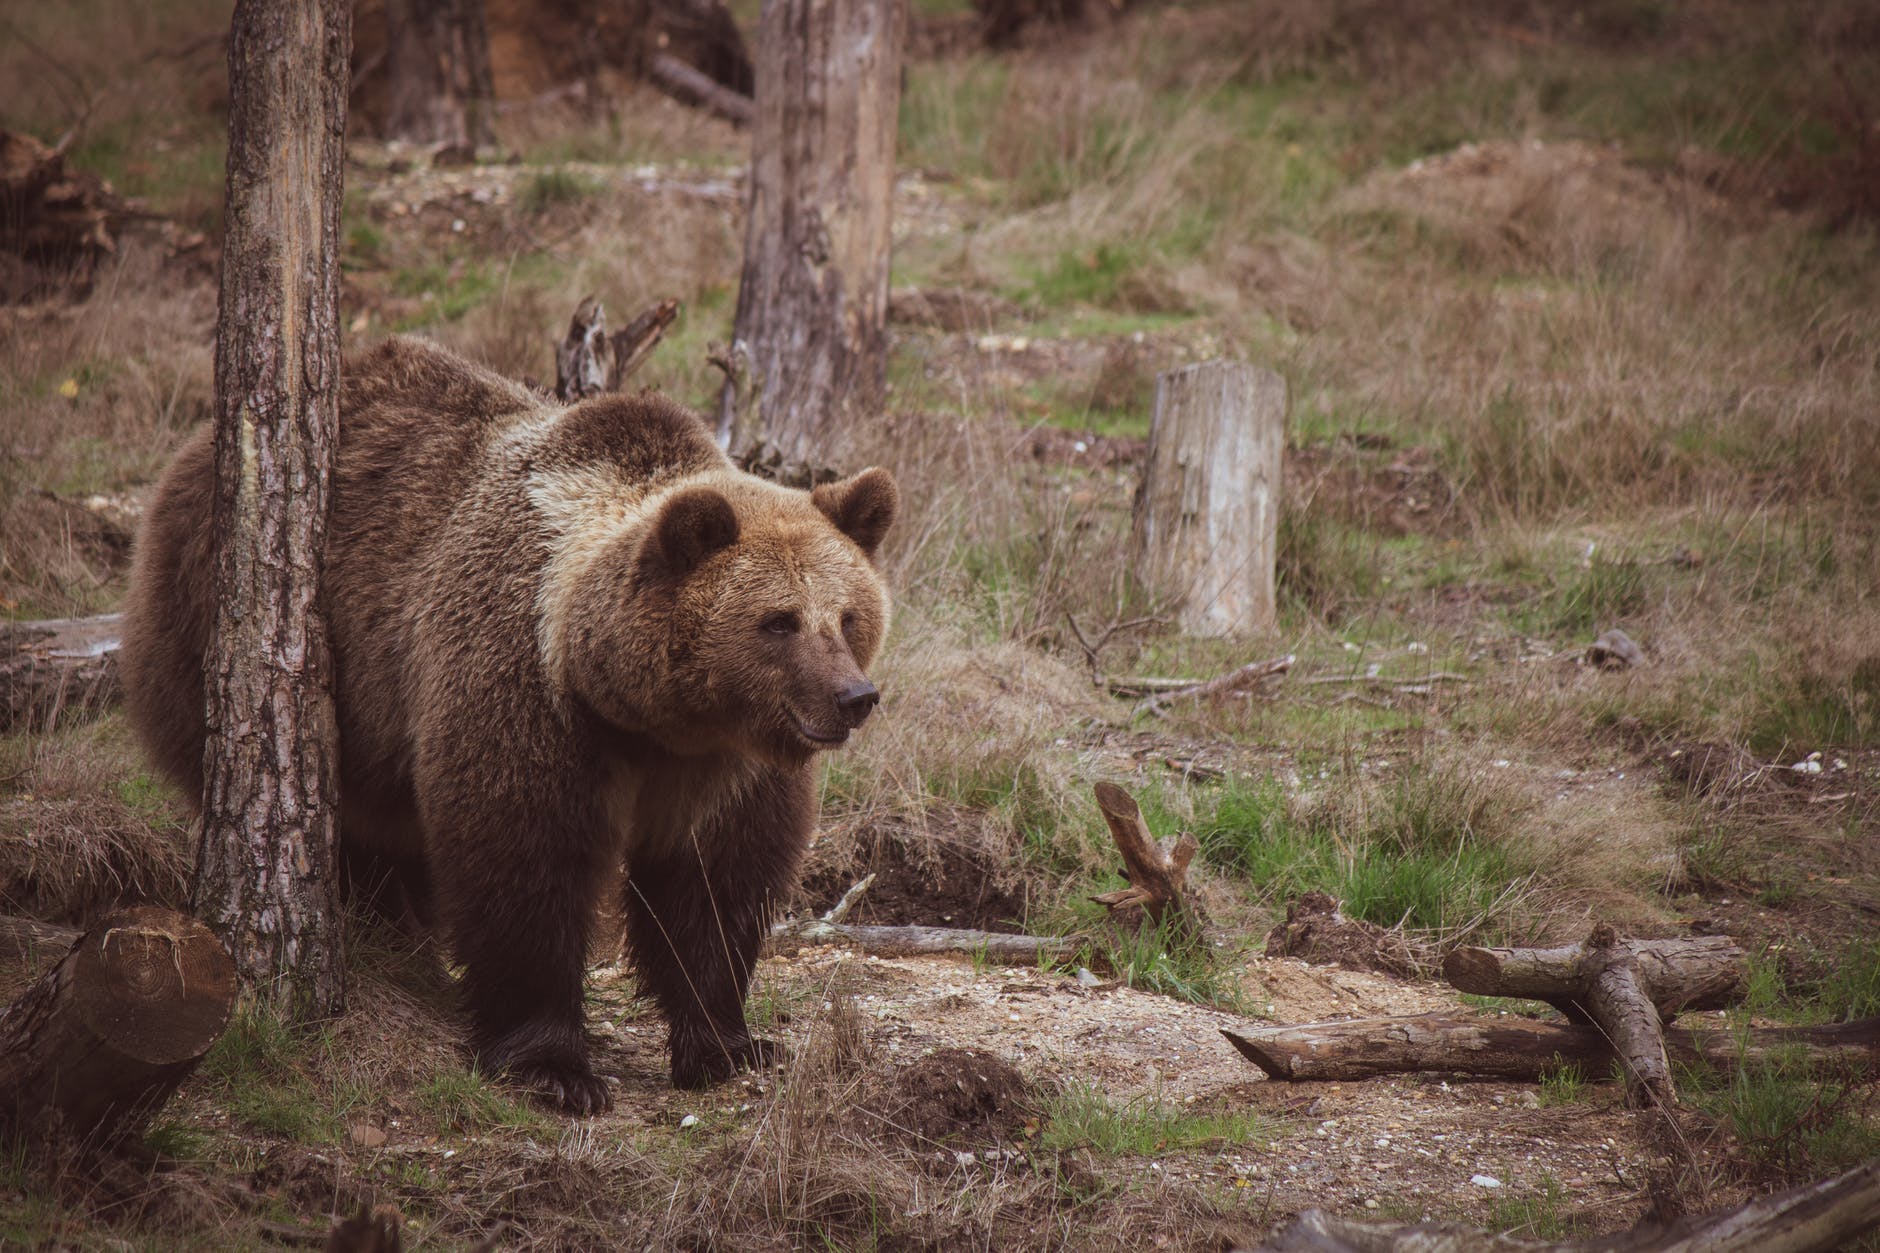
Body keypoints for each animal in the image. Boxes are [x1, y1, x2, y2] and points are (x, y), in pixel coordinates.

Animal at [119, 335, 897, 1113]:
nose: (853, 696)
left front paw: (730, 1044)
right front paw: (553, 1065)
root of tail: (191, 454)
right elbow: (522, 859)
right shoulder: (526, 691)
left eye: (848, 616)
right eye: (778, 621)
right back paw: (388, 932)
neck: (644, 715)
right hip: (231, 630)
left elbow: (714, 884)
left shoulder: (722, 766)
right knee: (355, 825)